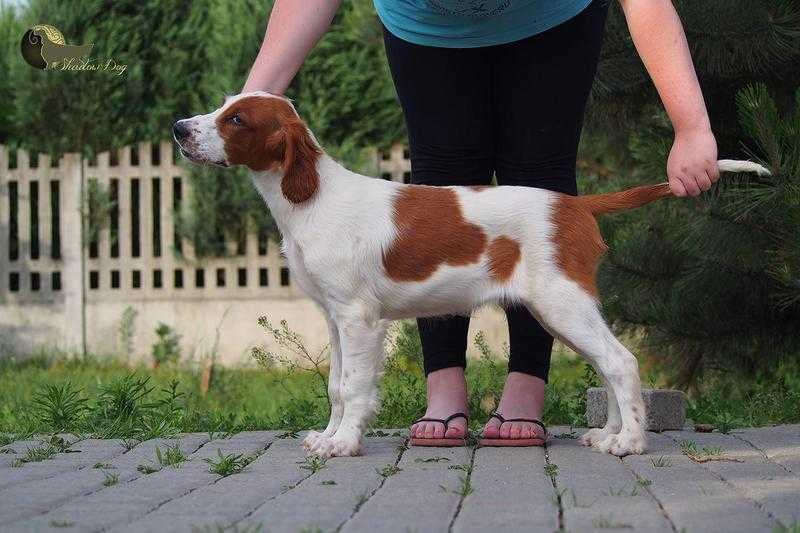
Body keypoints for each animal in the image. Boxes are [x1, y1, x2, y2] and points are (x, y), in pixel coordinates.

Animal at [173, 91, 768, 458]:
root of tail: (575, 205)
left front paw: (344, 445)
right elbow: (336, 386)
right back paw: (607, 435)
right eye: (223, 106)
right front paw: (326, 437)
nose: (179, 127)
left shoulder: (359, 318)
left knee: (621, 362)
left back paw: (630, 444)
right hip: (561, 310)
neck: (312, 197)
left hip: (562, 303)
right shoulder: (333, 316)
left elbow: (356, 386)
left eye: (237, 119)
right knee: (608, 365)